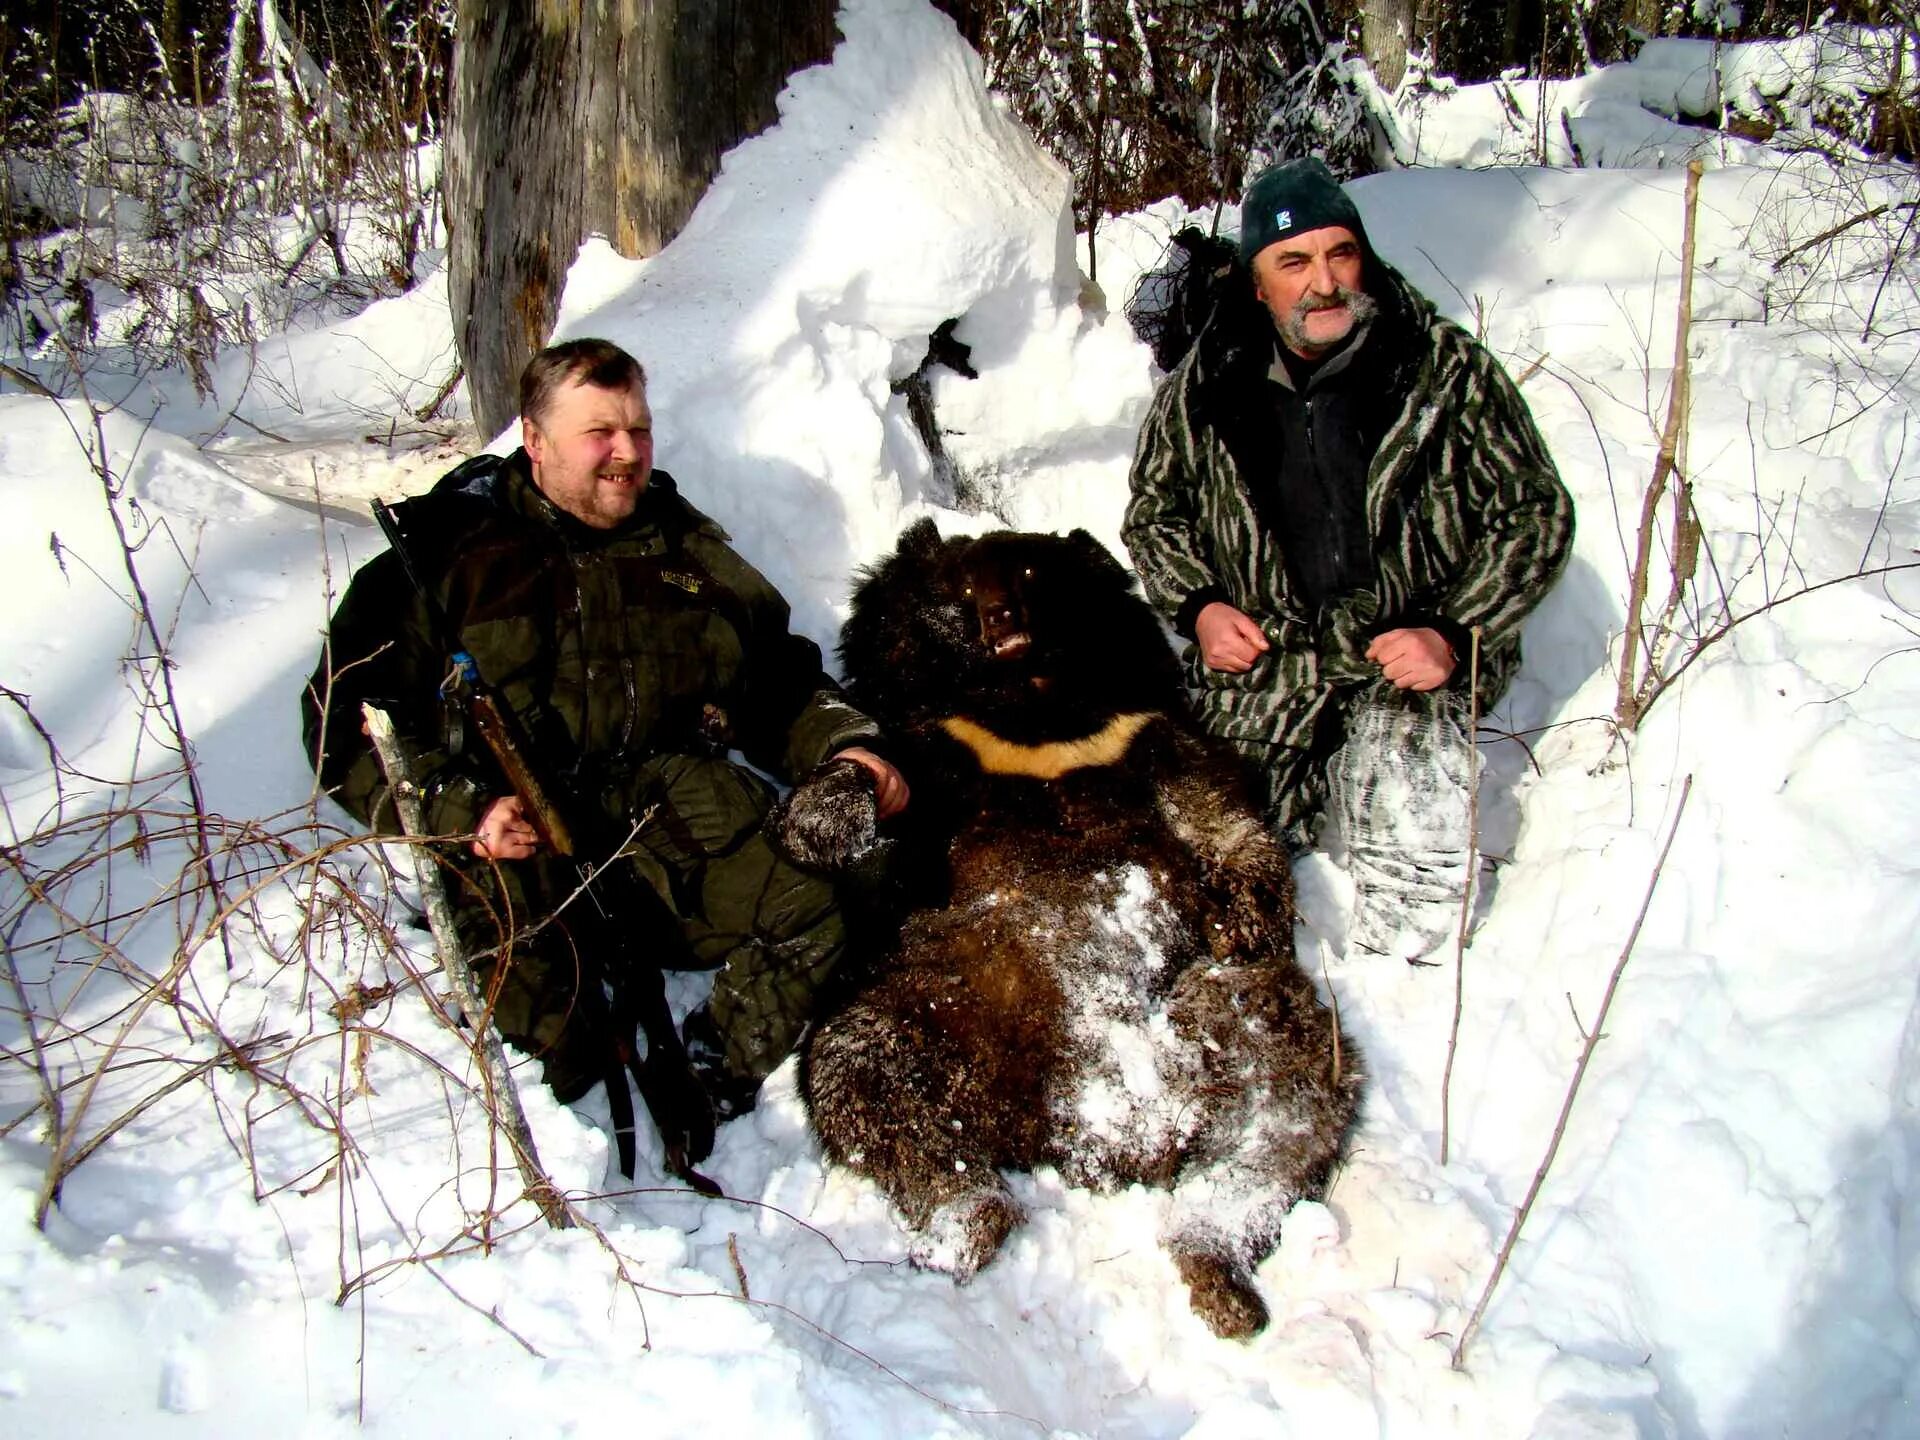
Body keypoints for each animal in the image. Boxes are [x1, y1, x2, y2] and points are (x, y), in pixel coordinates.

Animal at [779, 522, 1367, 1344]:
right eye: (963, 584)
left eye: (1030, 571)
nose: (1001, 618)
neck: (1032, 699)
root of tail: (1099, 1128)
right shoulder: (941, 740)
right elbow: (872, 780)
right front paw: (828, 812)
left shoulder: (1140, 728)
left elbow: (1222, 814)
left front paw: (1245, 918)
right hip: (927, 999)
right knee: (860, 1068)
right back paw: (964, 1228)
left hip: (1213, 1018)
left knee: (1290, 1085)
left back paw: (1219, 1275)